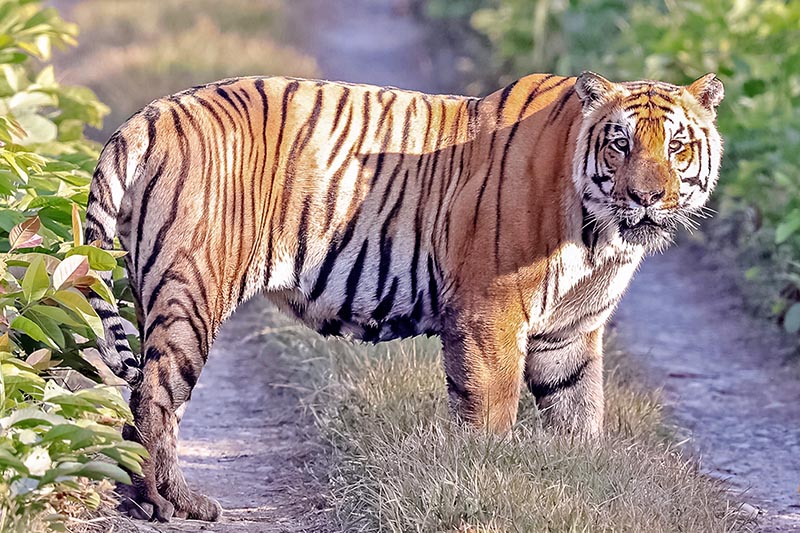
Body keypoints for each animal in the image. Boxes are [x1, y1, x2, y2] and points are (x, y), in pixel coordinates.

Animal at [84, 70, 720, 520]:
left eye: (677, 147)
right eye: (620, 144)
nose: (645, 198)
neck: (600, 236)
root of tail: (153, 114)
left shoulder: (568, 334)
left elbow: (579, 418)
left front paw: (578, 481)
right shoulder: (491, 313)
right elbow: (491, 415)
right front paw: (485, 477)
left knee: (140, 394)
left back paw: (139, 499)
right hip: (193, 287)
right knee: (152, 394)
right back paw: (171, 502)